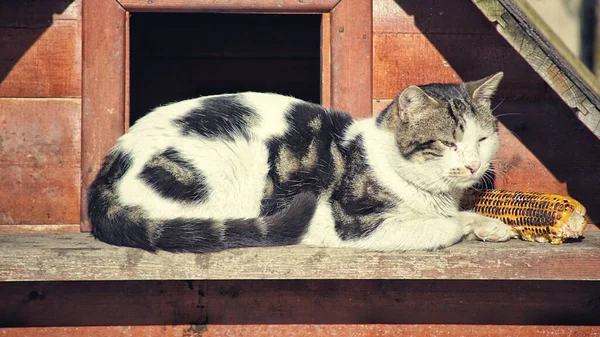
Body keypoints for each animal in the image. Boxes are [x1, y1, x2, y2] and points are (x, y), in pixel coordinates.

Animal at [88, 71, 510, 252]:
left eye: (483, 139)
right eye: (448, 143)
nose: (474, 165)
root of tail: (108, 168)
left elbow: (455, 216)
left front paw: (488, 226)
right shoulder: (348, 225)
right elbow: (443, 226)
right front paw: (460, 225)